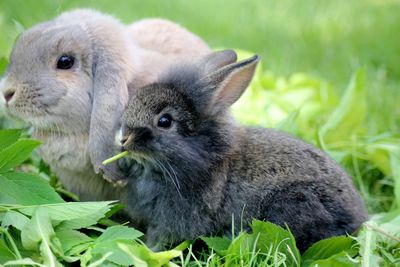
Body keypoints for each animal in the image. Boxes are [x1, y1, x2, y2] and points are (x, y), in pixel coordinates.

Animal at [117, 49, 368, 251]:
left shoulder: (173, 221)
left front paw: (147, 251)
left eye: (165, 121)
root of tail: (357, 217)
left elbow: (161, 239)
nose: (124, 139)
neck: (202, 156)